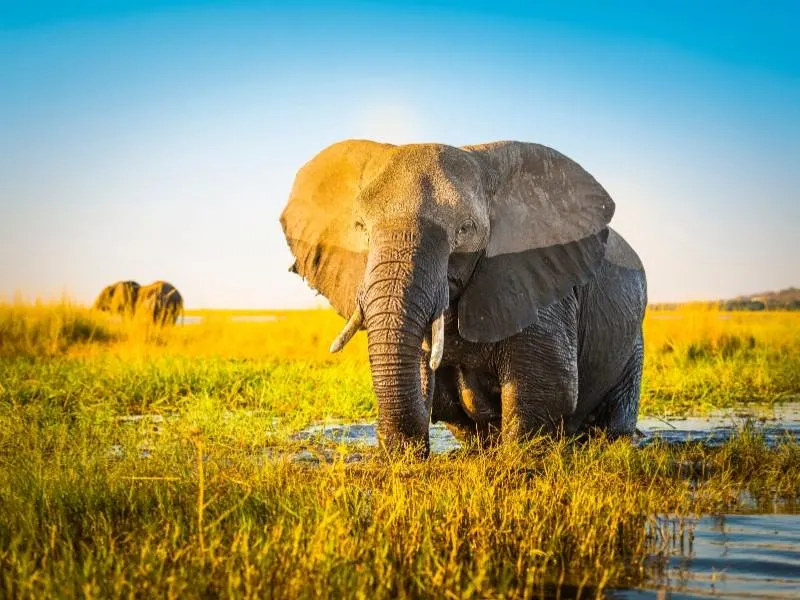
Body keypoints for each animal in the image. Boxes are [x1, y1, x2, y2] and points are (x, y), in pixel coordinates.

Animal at [284, 141, 648, 458]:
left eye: (465, 229)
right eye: (360, 227)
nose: (397, 451)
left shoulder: (538, 278)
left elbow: (548, 387)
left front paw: (516, 461)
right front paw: (404, 456)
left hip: (633, 341)